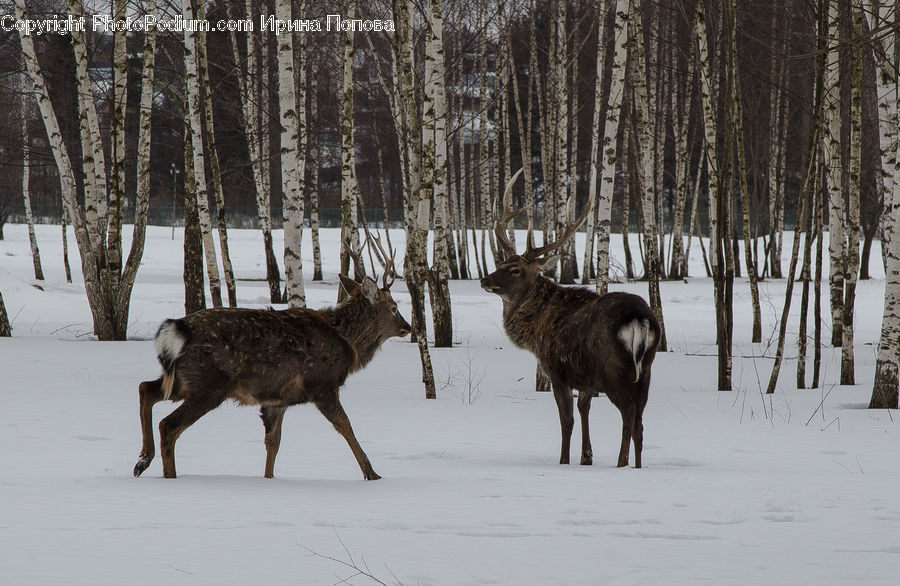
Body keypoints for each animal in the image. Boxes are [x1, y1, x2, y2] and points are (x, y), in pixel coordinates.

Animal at [132, 235, 410, 482]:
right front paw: (371, 473)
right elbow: (345, 426)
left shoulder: (277, 400)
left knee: (146, 388)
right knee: (169, 425)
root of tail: (175, 329)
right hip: (208, 383)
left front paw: (269, 479)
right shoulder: (321, 384)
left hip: (183, 378)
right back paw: (168, 475)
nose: (408, 327)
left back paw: (143, 459)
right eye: (394, 307)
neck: (347, 343)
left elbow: (273, 443)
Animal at [478, 168, 660, 466]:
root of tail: (639, 319)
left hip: (614, 369)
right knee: (640, 423)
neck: (536, 333)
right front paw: (587, 456)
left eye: (516, 270)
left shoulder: (558, 371)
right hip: (645, 369)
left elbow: (567, 420)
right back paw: (637, 466)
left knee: (629, 415)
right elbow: (584, 410)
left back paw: (621, 463)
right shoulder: (586, 379)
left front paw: (564, 460)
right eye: (501, 262)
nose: (485, 279)